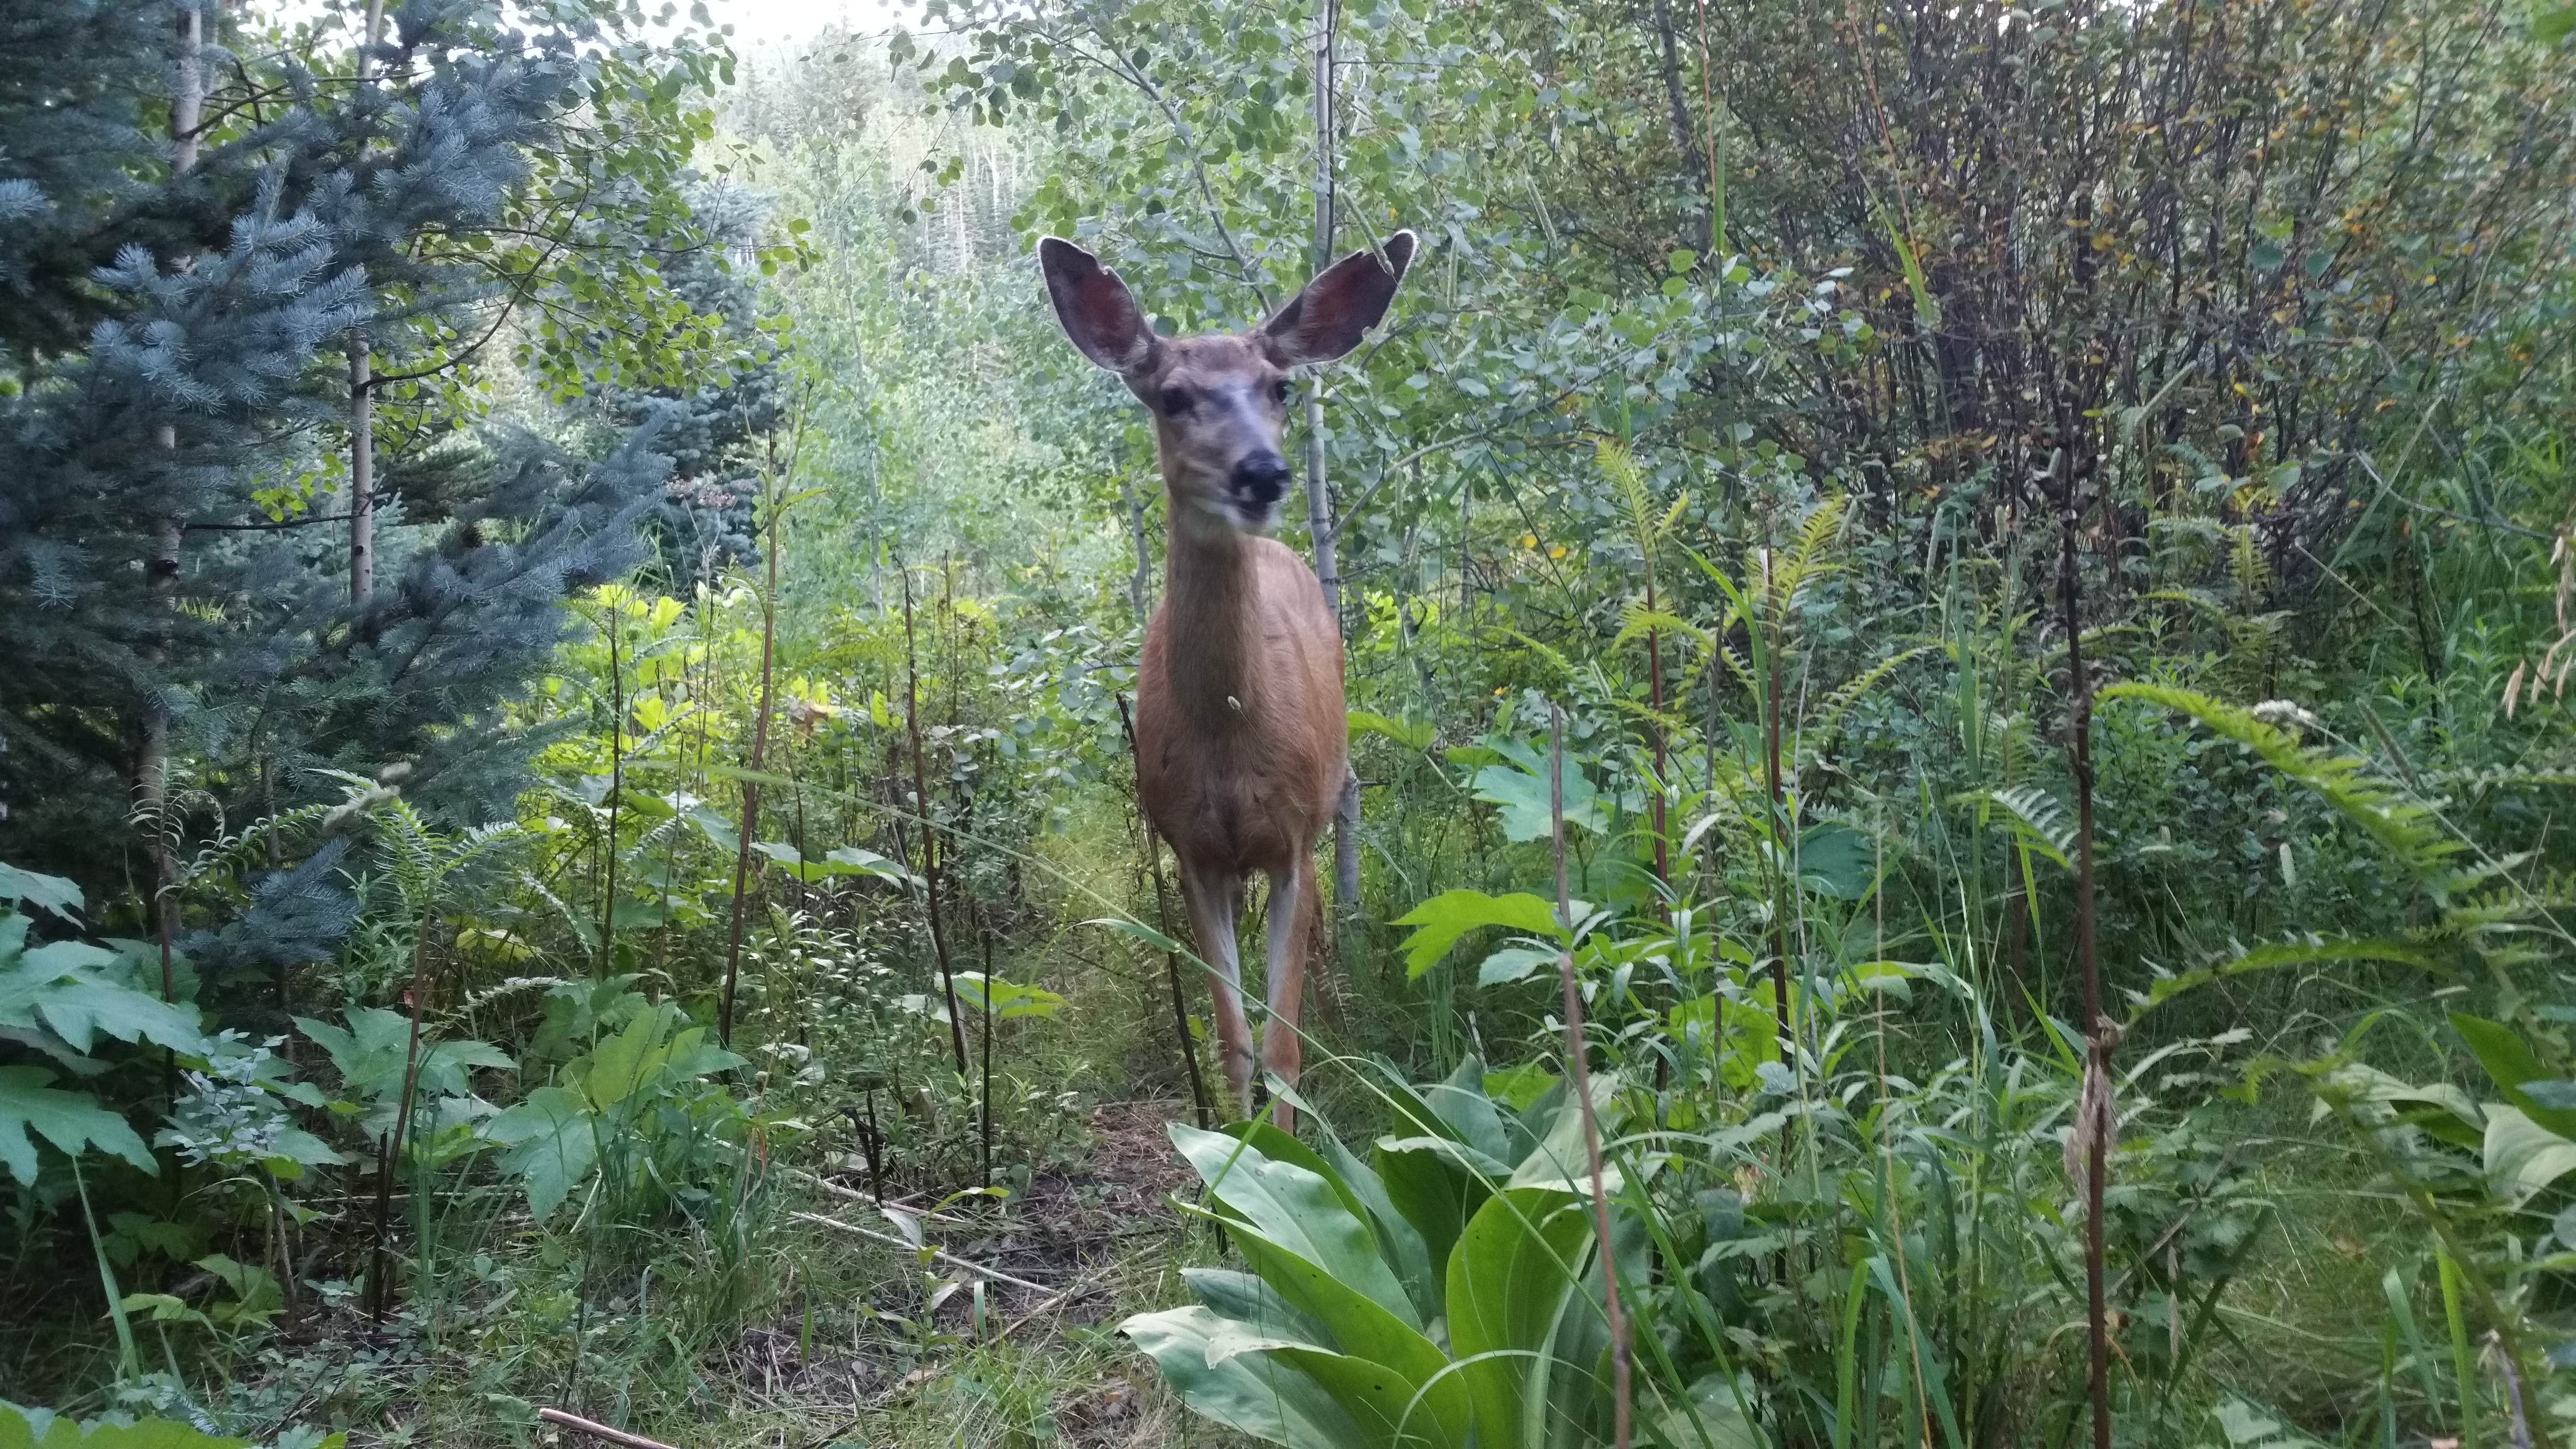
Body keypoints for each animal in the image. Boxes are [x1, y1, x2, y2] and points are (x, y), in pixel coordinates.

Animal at [1035, 228, 1422, 1129]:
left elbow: (1284, 1047)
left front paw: (1285, 1155)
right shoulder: (1191, 849)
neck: (1230, 734)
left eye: (1278, 386)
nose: (1263, 472)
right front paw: (1236, 1162)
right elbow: (1232, 1042)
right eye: (1173, 396)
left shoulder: (1293, 841)